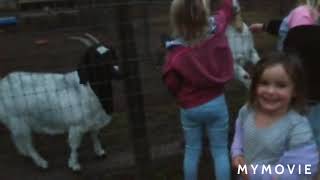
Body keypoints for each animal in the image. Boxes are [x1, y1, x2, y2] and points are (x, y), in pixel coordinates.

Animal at [0, 34, 116, 172]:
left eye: (111, 54)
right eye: (95, 58)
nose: (117, 72)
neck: (88, 90)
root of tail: (2, 83)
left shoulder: (94, 122)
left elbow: (95, 136)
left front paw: (100, 152)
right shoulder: (76, 126)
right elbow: (75, 146)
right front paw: (74, 165)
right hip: (18, 122)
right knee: (27, 144)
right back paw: (42, 162)